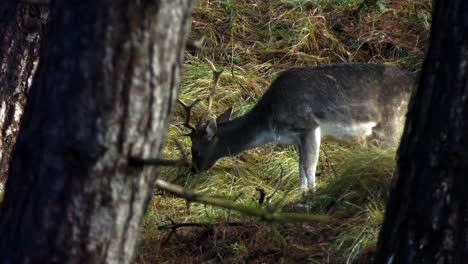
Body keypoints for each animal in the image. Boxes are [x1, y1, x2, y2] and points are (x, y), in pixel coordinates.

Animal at [179, 64, 414, 192]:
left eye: (195, 149)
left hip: (392, 121)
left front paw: (310, 197)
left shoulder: (308, 125)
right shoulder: (297, 139)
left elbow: (309, 170)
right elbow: (301, 170)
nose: (193, 170)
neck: (270, 122)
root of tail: (411, 82)